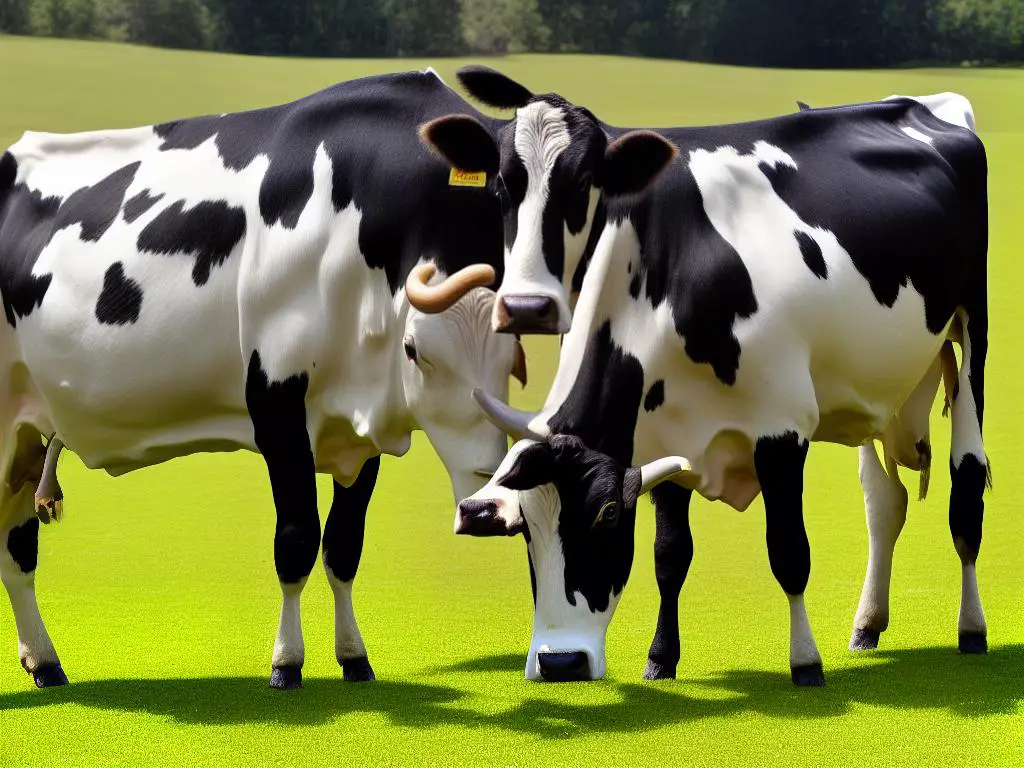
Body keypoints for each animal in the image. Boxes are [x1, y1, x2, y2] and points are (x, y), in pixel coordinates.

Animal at [0, 66, 528, 692]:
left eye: (514, 356)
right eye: (416, 351)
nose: (488, 507)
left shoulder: (360, 428)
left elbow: (344, 546)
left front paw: (354, 658)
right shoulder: (275, 402)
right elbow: (296, 540)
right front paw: (286, 663)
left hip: (23, 432)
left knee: (14, 544)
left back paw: (45, 662)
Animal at [432, 69, 991, 688]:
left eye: (607, 515)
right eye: (526, 528)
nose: (559, 663)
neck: (677, 272)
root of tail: (917, 101)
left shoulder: (782, 429)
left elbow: (789, 551)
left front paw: (805, 661)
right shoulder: (665, 434)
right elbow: (669, 554)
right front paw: (660, 658)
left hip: (972, 328)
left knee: (966, 488)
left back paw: (972, 629)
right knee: (883, 502)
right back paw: (867, 625)